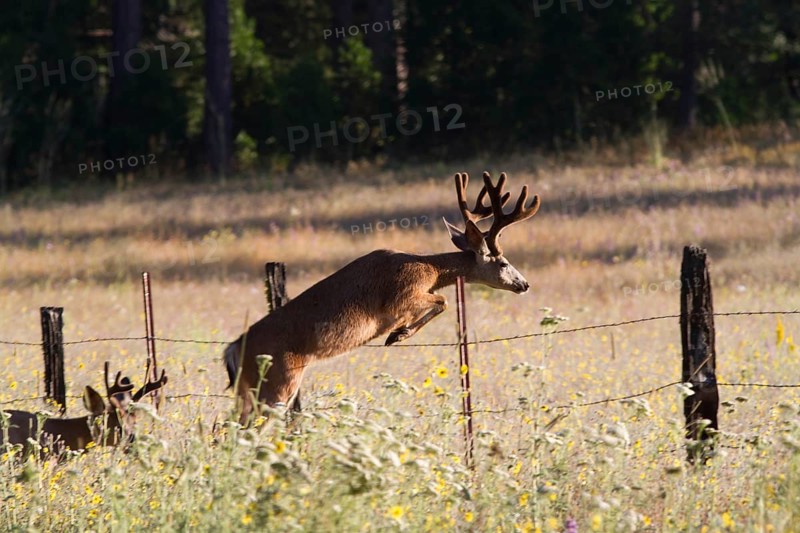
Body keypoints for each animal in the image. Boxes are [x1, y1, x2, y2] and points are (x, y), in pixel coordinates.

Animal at [224, 171, 540, 424]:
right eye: (503, 262)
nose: (525, 284)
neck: (431, 269)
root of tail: (234, 347)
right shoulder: (401, 295)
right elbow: (442, 301)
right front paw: (398, 334)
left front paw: (398, 332)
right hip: (278, 381)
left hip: (247, 390)